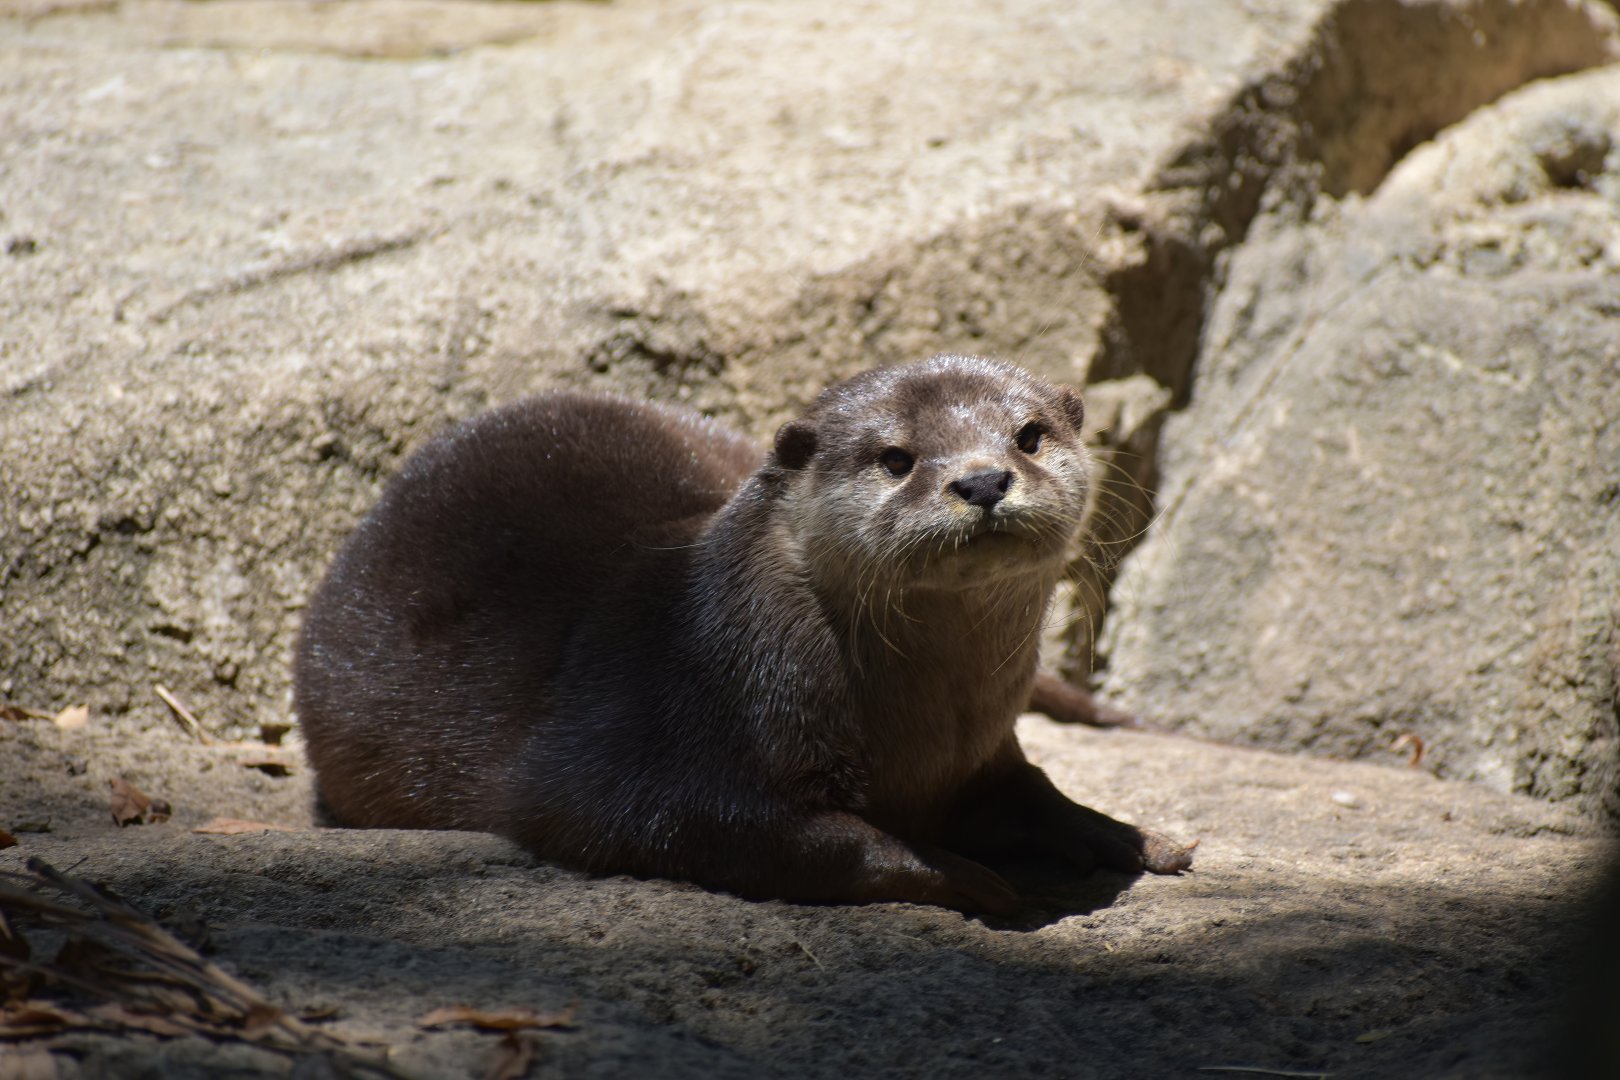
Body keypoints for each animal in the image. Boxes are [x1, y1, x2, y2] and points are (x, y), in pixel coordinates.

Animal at [295, 355, 1193, 913]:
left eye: (1030, 435)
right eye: (896, 458)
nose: (981, 480)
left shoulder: (981, 749)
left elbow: (1031, 786)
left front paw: (1129, 834)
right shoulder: (646, 754)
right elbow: (803, 839)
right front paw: (971, 876)